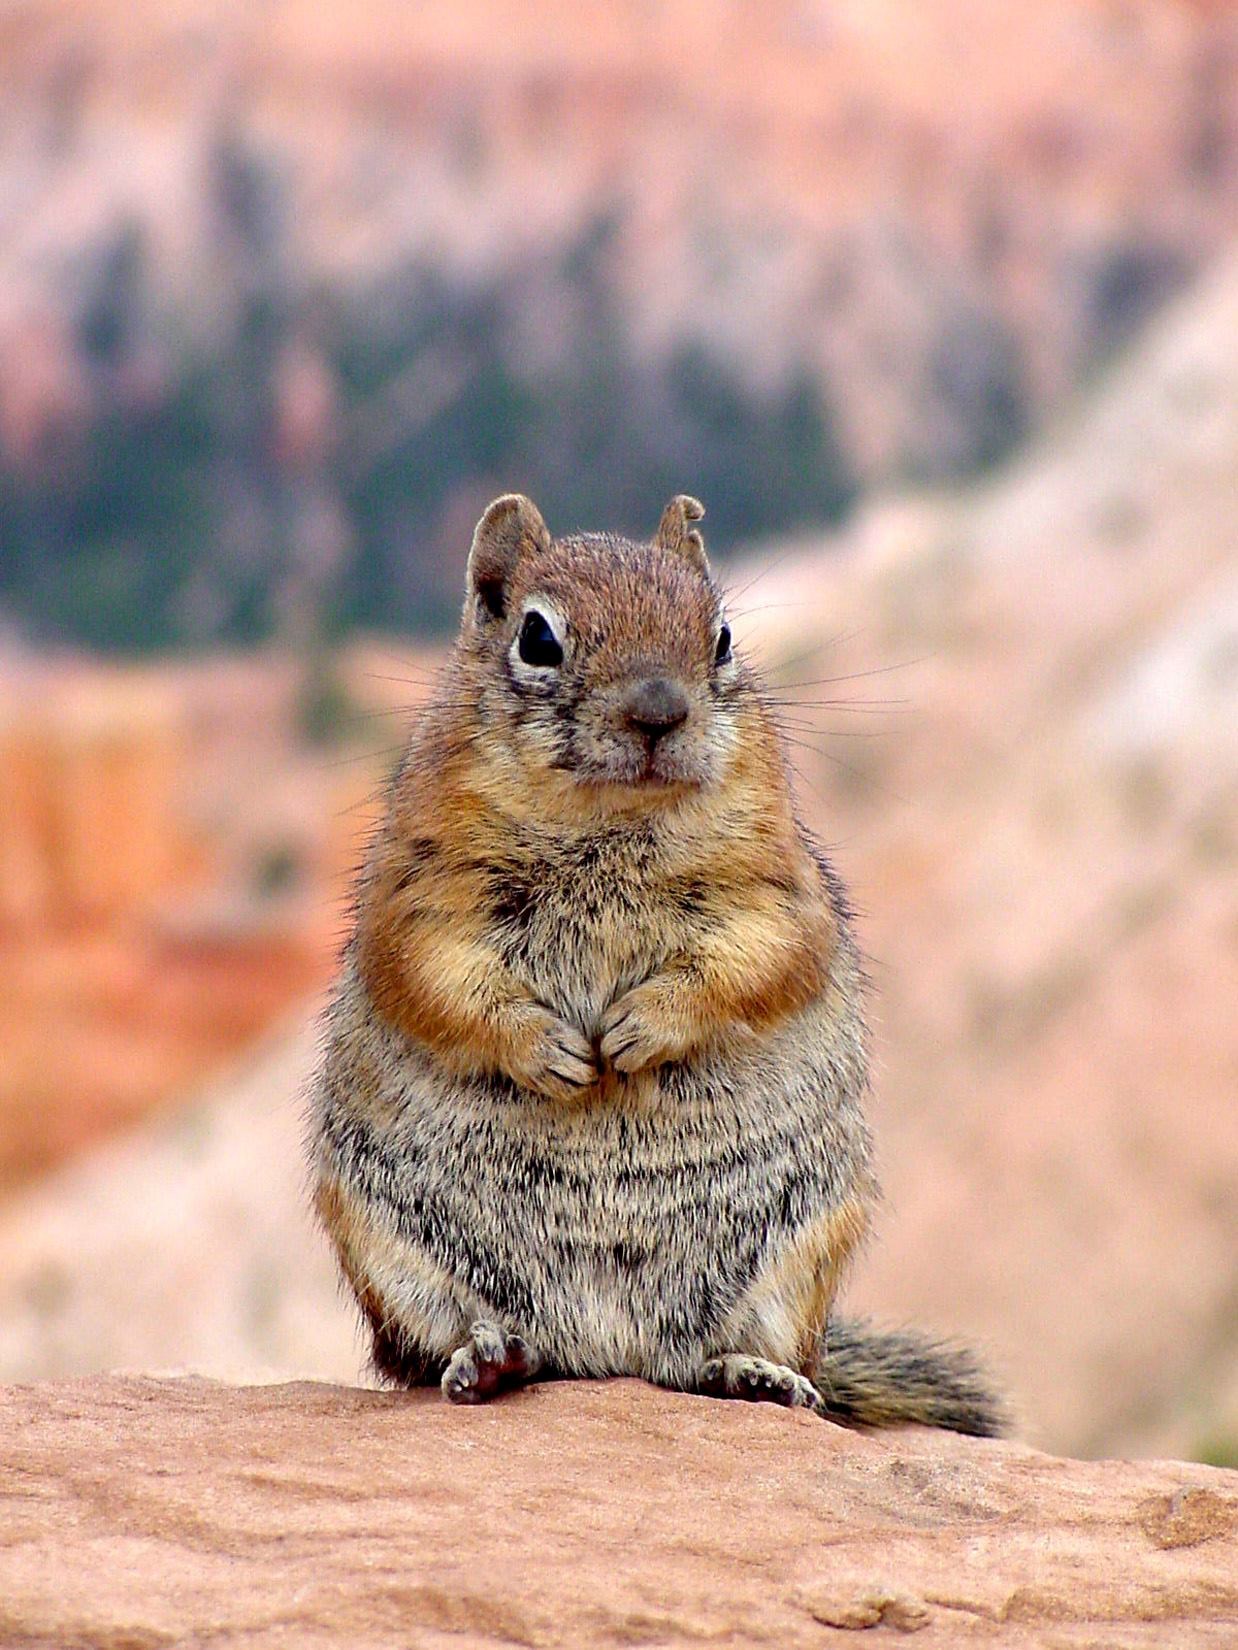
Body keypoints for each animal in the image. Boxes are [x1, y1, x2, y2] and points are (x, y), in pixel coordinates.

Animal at [311, 488, 1010, 1432]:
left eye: (721, 637)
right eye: (537, 637)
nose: (658, 711)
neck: (611, 820)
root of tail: (606, 1354)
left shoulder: (778, 887)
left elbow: (763, 960)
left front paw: (641, 1030)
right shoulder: (417, 890)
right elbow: (429, 975)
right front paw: (552, 1052)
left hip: (804, 1247)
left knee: (716, 1360)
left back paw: (755, 1376)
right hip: (386, 1247)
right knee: (423, 1353)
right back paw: (488, 1361)